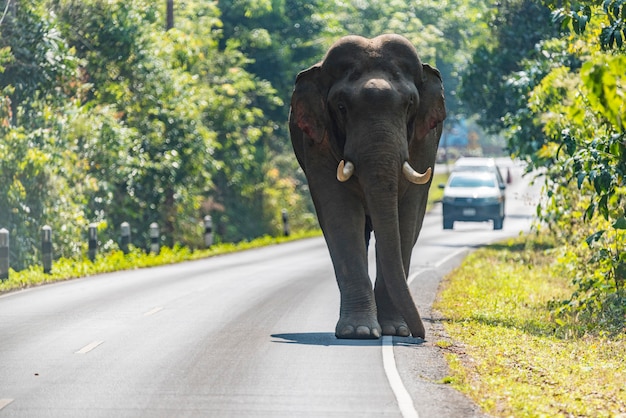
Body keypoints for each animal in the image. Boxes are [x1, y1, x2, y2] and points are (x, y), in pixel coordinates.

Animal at [288, 33, 444, 340]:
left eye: (409, 104)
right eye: (341, 107)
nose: (419, 335)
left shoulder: (425, 142)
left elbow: (407, 217)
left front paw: (395, 330)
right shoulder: (317, 141)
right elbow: (340, 214)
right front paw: (358, 332)